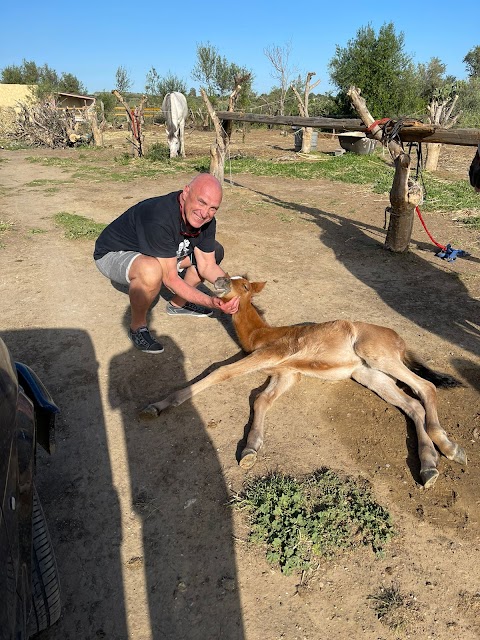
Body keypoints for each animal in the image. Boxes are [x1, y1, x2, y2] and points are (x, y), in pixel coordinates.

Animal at [141, 276, 466, 490]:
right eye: (229, 276)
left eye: (243, 285)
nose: (219, 280)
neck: (260, 334)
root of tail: (399, 340)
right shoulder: (285, 373)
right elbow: (261, 399)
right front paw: (250, 450)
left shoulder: (273, 354)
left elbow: (221, 372)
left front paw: (157, 405)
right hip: (369, 373)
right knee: (412, 405)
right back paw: (429, 466)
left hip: (376, 354)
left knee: (426, 387)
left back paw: (448, 447)